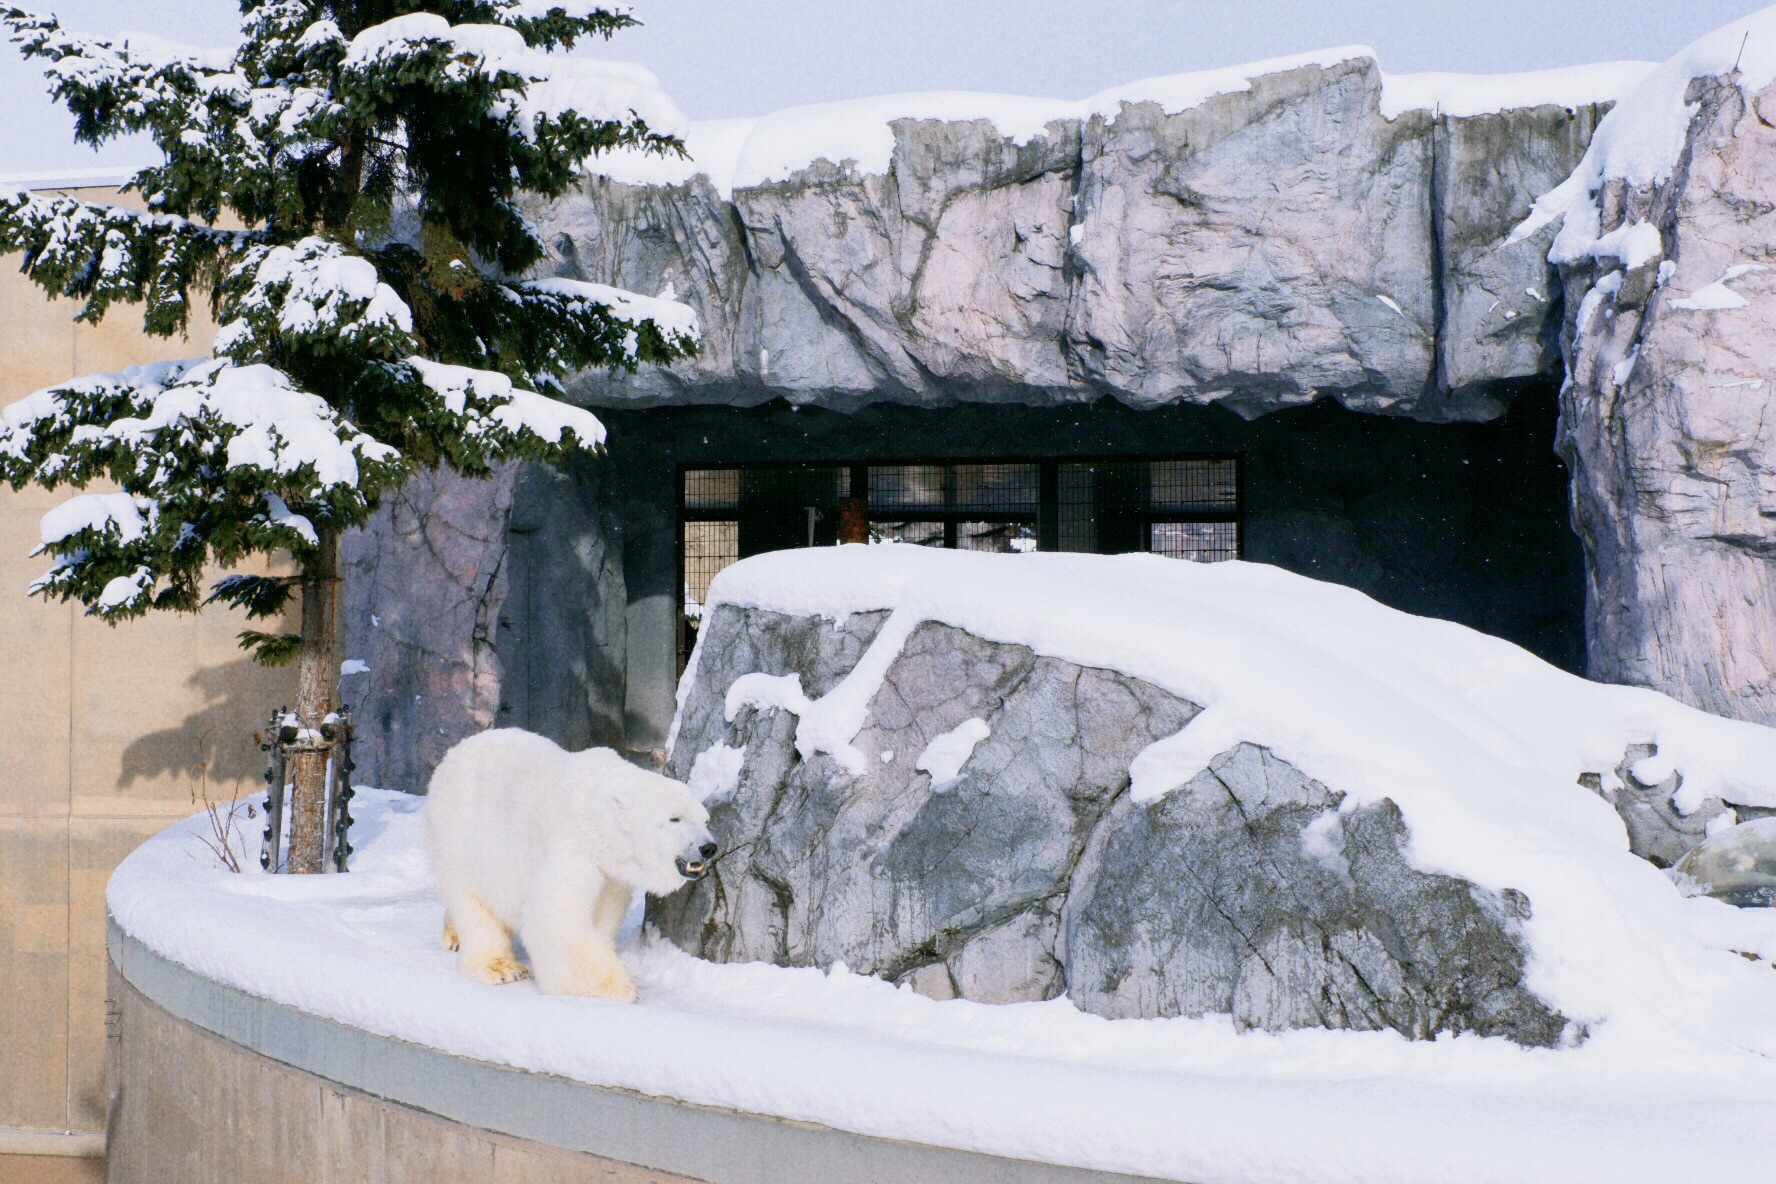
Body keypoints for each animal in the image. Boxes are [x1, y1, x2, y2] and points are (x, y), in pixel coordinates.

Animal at [422, 731, 713, 1001]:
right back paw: (500, 967)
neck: (599, 816)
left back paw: (454, 935)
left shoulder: (610, 874)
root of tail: (454, 752)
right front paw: (618, 988)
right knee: (473, 901)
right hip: (460, 837)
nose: (708, 847)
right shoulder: (572, 846)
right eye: (674, 818)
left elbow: (603, 914)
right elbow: (558, 915)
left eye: (705, 819)